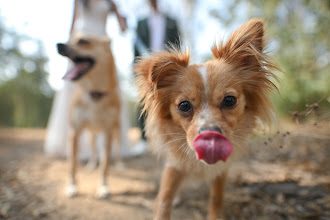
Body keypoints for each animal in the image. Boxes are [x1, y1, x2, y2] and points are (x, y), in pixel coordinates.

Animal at [57, 33, 120, 199]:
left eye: (83, 41)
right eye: (70, 39)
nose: (59, 45)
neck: (95, 95)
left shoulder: (108, 133)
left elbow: (105, 165)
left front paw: (103, 186)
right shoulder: (74, 132)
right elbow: (72, 164)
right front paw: (72, 186)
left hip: (116, 130)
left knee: (116, 150)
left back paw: (120, 164)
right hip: (91, 135)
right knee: (93, 150)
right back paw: (91, 165)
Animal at [135, 19, 280, 220]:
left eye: (229, 100)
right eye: (184, 106)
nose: (210, 135)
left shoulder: (221, 170)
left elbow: (216, 199)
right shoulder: (174, 165)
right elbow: (164, 199)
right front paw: (161, 207)